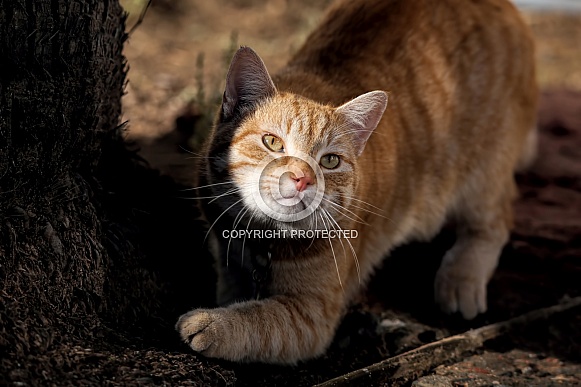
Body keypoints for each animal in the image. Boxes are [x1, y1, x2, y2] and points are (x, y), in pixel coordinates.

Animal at [174, 0, 536, 366]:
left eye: (330, 161)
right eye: (272, 142)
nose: (302, 178)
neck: (264, 242)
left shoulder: (309, 315)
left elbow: (258, 320)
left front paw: (212, 324)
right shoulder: (228, 250)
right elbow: (232, 287)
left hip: (483, 174)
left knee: (497, 221)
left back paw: (462, 277)